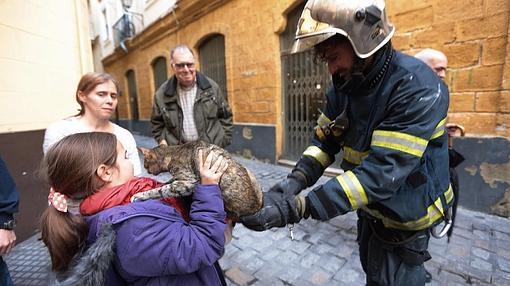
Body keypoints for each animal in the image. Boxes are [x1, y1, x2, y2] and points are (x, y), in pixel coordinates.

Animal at [134, 141, 262, 219]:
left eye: (145, 164)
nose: (146, 170)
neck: (172, 153)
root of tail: (258, 206)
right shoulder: (179, 180)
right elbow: (167, 183)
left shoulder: (187, 183)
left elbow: (161, 190)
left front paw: (140, 195)